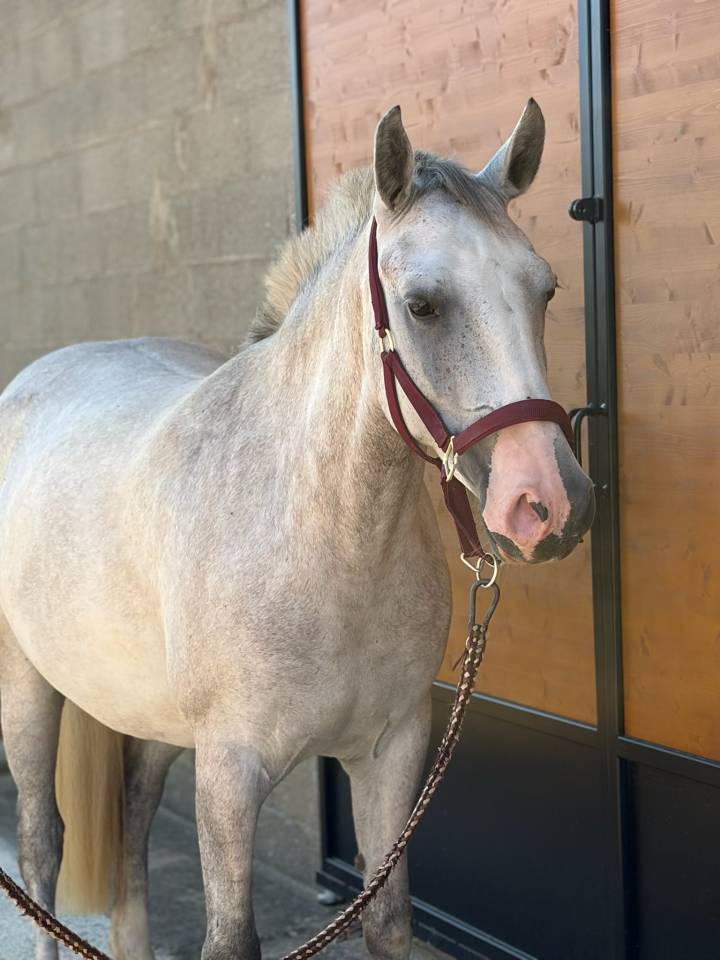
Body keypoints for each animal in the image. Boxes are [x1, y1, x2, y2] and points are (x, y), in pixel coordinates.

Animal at [0, 101, 594, 960]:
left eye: (545, 289)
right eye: (423, 304)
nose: (549, 502)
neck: (323, 545)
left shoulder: (391, 755)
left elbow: (387, 920)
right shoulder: (229, 773)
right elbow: (229, 937)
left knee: (134, 818)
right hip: (27, 686)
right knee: (42, 841)